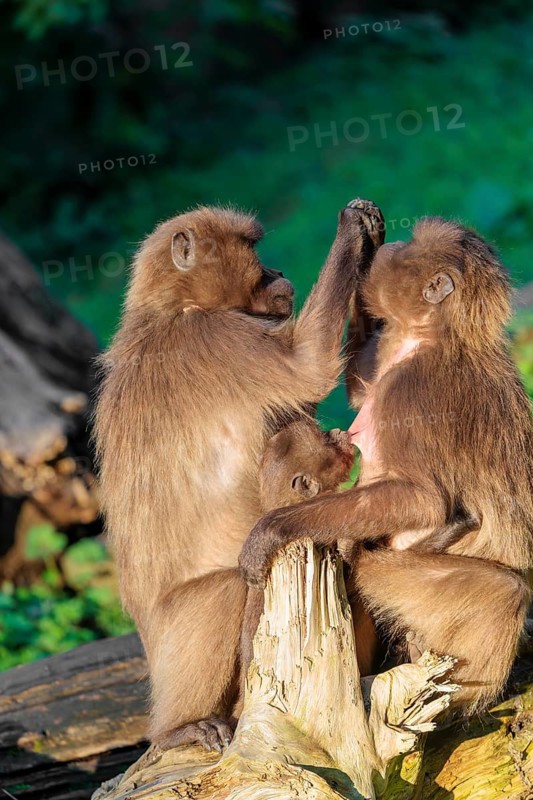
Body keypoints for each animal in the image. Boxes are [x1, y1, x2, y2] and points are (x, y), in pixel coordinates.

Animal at [94, 198, 386, 752]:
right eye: (253, 249)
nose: (278, 273)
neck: (171, 309)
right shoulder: (215, 336)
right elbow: (308, 365)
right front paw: (353, 232)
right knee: (226, 590)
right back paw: (179, 729)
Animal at [240, 216, 533, 714]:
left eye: (410, 245)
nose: (392, 244)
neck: (436, 340)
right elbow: (360, 387)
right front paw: (361, 236)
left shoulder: (406, 393)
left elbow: (424, 500)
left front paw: (273, 529)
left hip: (399, 581)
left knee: (506, 592)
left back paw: (445, 703)